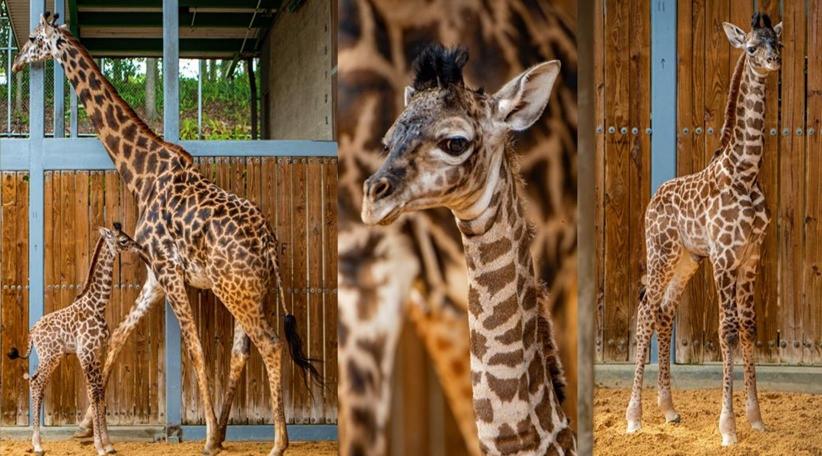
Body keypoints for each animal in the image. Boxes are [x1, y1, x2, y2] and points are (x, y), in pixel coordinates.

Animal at [6, 224, 142, 456]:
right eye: (123, 240)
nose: (138, 247)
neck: (97, 305)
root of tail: (32, 332)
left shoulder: (97, 353)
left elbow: (99, 391)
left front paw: (108, 444)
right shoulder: (85, 353)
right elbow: (93, 393)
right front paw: (100, 446)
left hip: (52, 357)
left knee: (36, 382)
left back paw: (37, 443)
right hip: (50, 356)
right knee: (36, 383)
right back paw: (37, 445)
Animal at [624, 13, 782, 447]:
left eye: (777, 42)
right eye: (751, 47)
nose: (773, 62)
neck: (745, 173)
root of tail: (653, 197)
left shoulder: (752, 256)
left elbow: (748, 327)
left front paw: (756, 418)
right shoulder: (724, 257)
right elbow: (726, 330)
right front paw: (727, 427)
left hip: (687, 259)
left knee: (663, 311)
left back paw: (668, 410)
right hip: (660, 252)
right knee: (645, 310)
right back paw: (634, 417)